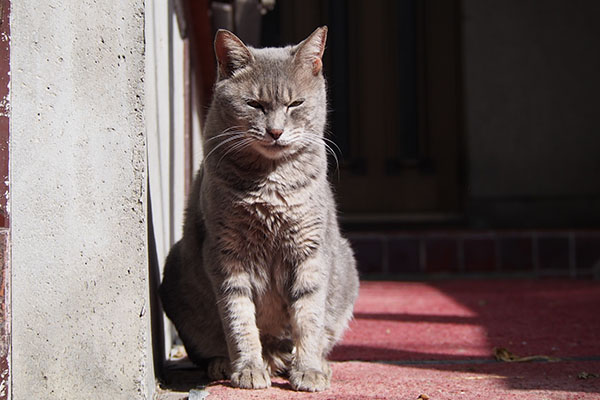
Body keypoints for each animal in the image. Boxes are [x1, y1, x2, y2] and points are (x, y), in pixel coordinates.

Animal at [159, 26, 358, 392]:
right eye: (254, 104)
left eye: (295, 104)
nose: (276, 131)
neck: (269, 183)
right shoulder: (225, 254)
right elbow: (239, 318)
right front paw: (248, 368)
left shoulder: (310, 251)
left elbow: (308, 316)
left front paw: (308, 370)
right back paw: (227, 363)